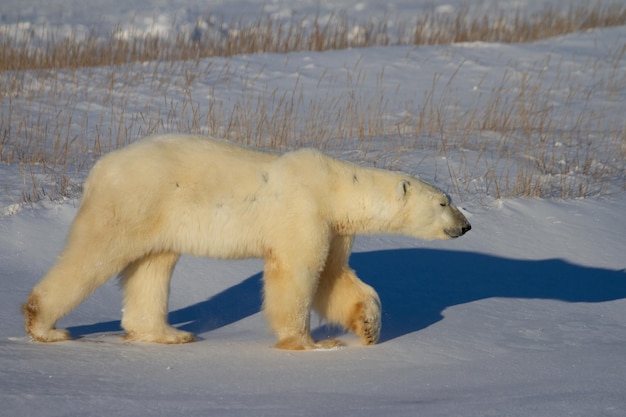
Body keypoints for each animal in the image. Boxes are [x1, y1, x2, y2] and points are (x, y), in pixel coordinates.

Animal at [23, 134, 468, 348]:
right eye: (444, 202)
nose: (465, 225)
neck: (335, 185)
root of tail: (99, 168)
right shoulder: (303, 212)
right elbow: (298, 274)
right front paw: (308, 343)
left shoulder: (334, 226)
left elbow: (334, 276)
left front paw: (370, 326)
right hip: (133, 200)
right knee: (94, 254)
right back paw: (45, 326)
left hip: (160, 216)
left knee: (154, 266)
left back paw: (168, 334)